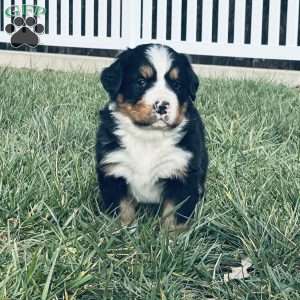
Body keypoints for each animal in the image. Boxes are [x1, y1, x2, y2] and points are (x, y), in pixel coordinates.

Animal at [95, 42, 207, 230]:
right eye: (141, 82)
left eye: (177, 85)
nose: (162, 106)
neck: (148, 137)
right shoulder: (115, 169)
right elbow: (122, 209)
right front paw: (122, 231)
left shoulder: (181, 173)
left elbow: (174, 215)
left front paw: (171, 237)